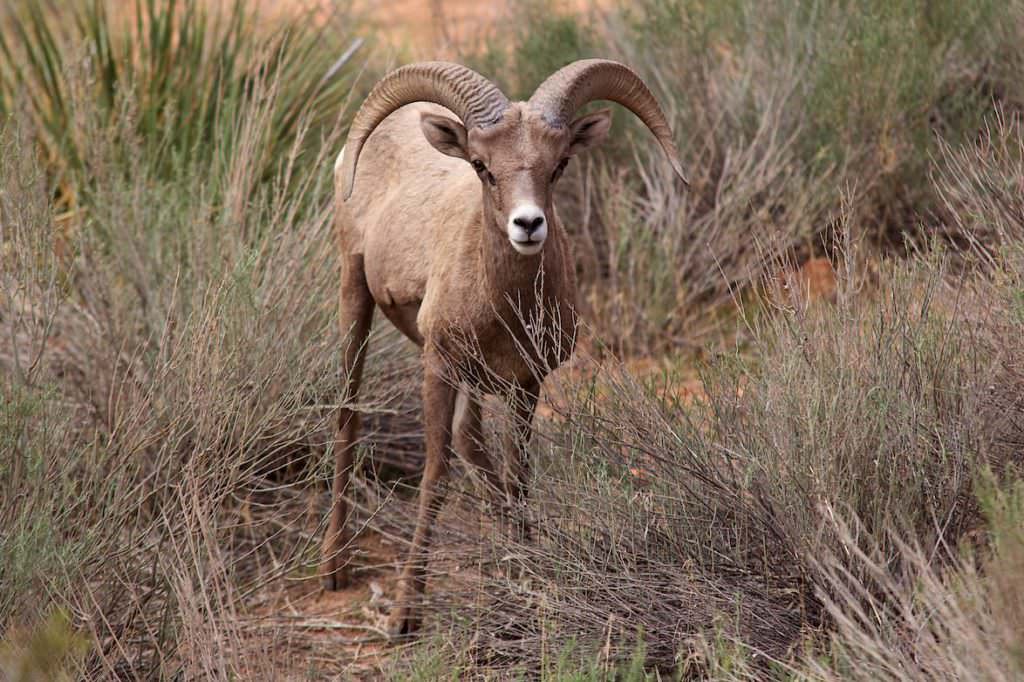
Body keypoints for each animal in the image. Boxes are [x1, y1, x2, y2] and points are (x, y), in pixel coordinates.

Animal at [323, 58, 684, 630]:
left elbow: (518, 476)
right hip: (353, 292)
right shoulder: (438, 367)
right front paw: (405, 615)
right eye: (481, 166)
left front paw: (526, 576)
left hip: (474, 381)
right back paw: (335, 567)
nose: (528, 224)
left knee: (472, 441)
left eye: (558, 165)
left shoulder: (525, 383)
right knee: (348, 416)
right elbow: (436, 476)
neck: (505, 307)